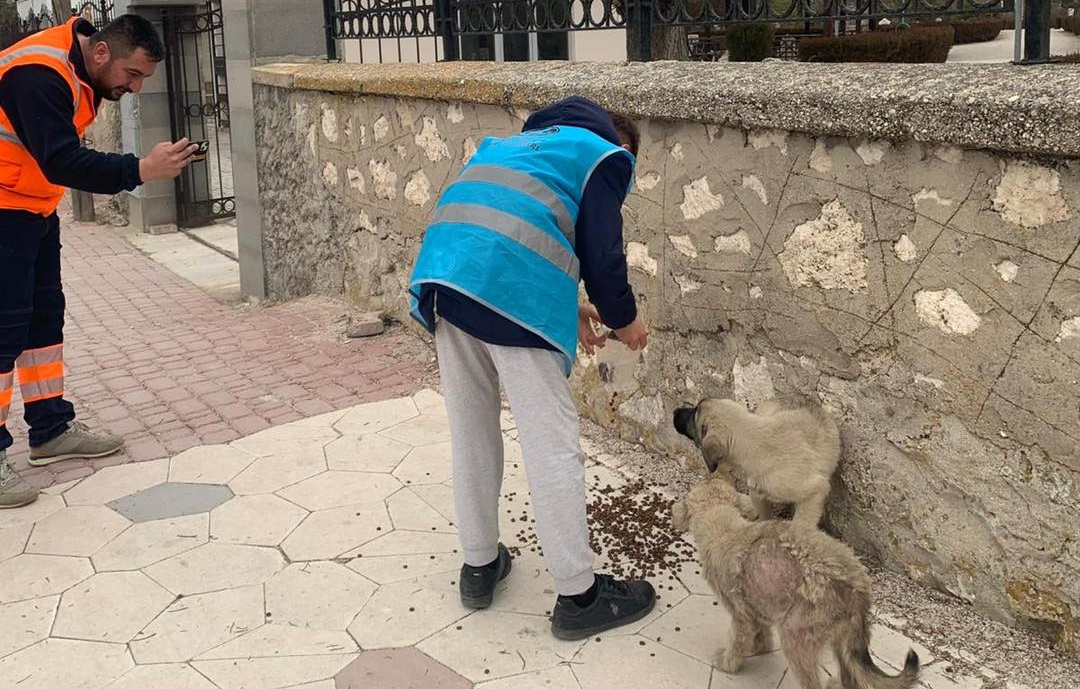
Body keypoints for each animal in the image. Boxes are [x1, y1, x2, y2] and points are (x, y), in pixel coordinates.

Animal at [673, 397, 842, 527]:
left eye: (693, 413)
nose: (674, 411)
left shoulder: (816, 491)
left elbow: (802, 524)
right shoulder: (759, 496)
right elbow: (764, 518)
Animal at [673, 477, 920, 689]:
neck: (724, 526)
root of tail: (857, 589)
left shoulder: (740, 614)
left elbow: (737, 643)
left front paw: (727, 663)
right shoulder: (758, 604)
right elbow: (762, 632)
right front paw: (760, 647)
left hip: (796, 637)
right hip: (842, 642)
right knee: (849, 678)